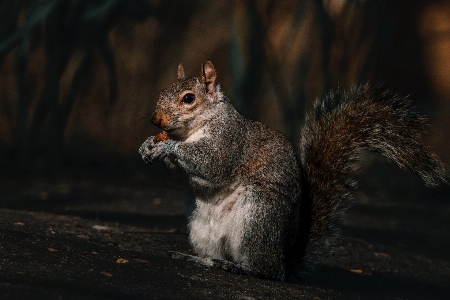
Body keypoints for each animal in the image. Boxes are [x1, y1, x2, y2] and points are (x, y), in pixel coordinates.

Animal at [139, 60, 448, 282]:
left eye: (188, 98)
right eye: (163, 92)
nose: (156, 120)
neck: (193, 130)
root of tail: (284, 258)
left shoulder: (229, 142)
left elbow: (211, 163)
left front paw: (168, 147)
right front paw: (148, 146)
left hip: (258, 215)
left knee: (267, 271)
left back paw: (240, 268)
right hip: (201, 228)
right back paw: (202, 259)